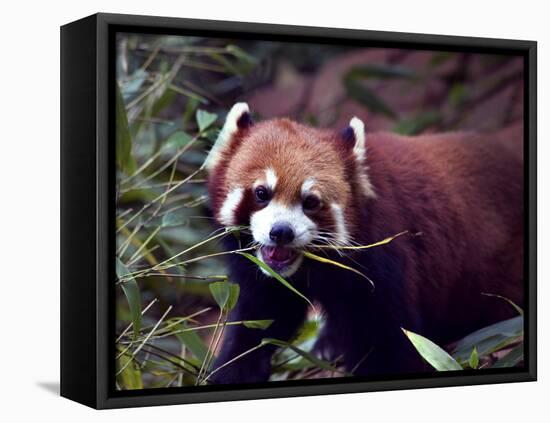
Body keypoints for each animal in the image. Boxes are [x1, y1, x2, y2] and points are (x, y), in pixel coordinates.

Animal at [206, 102, 528, 384]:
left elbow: (387, 337)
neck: (310, 267)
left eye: (310, 202)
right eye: (262, 193)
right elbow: (259, 319)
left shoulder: (382, 257)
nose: (281, 232)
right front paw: (232, 370)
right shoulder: (264, 275)